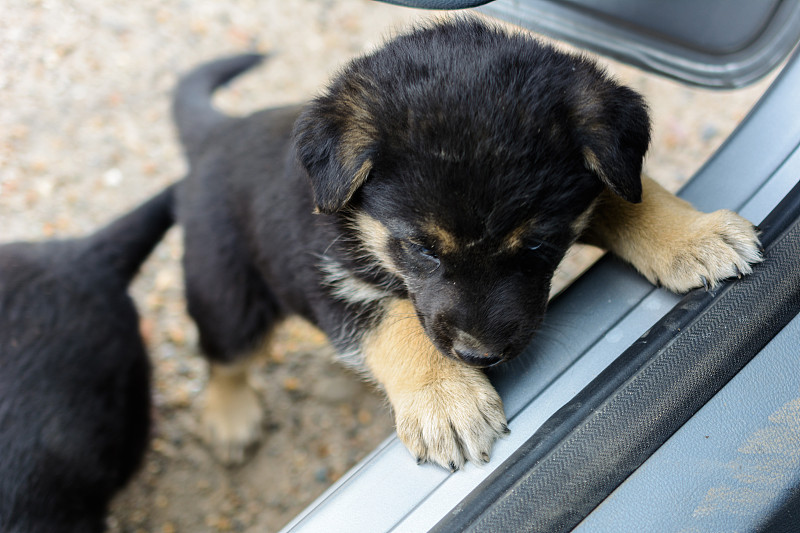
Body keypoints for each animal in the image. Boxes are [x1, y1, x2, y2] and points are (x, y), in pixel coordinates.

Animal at [172, 17, 760, 470]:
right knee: (226, 357)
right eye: (422, 248)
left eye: (539, 247)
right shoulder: (329, 275)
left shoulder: (586, 195)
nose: (479, 355)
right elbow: (397, 321)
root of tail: (221, 133)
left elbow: (627, 197)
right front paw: (445, 399)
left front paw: (695, 236)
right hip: (227, 293)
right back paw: (230, 418)